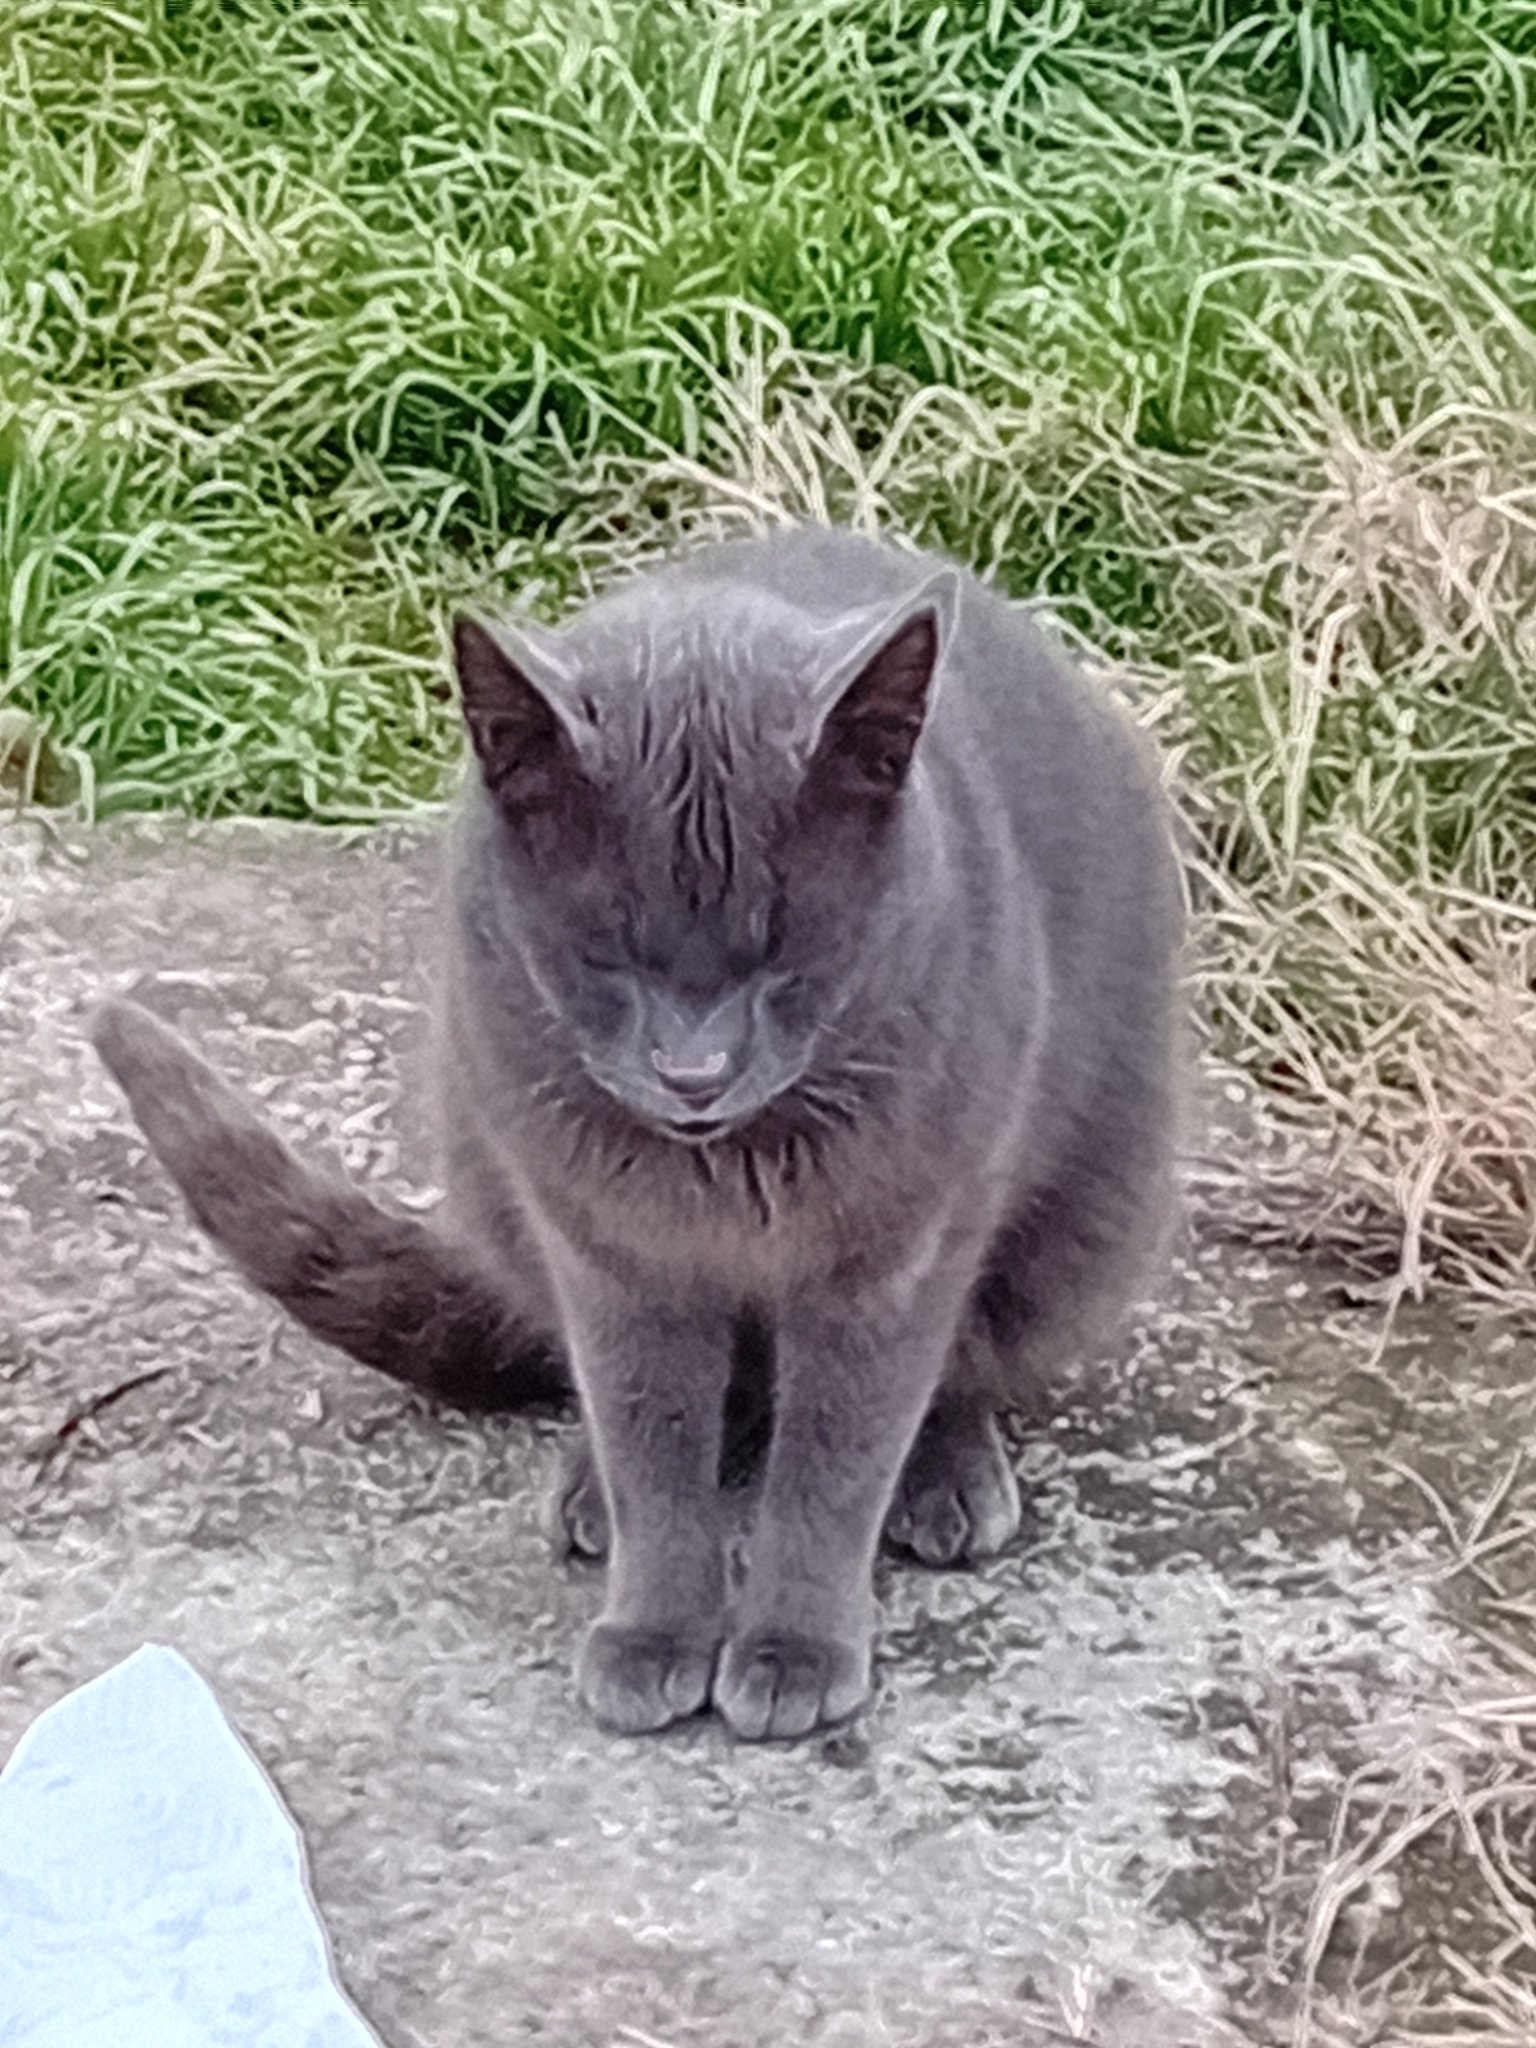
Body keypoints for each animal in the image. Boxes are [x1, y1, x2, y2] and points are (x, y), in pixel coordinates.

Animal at [92, 525, 1185, 1742]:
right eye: (606, 954)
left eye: (784, 951)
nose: (692, 1071)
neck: (728, 1180)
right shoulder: (608, 1248)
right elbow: (650, 1435)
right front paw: (656, 1630)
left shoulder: (896, 1250)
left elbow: (838, 1452)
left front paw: (795, 1648)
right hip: (490, 1170)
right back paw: (588, 1491)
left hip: (1090, 1213)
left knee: (966, 1364)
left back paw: (945, 1478)